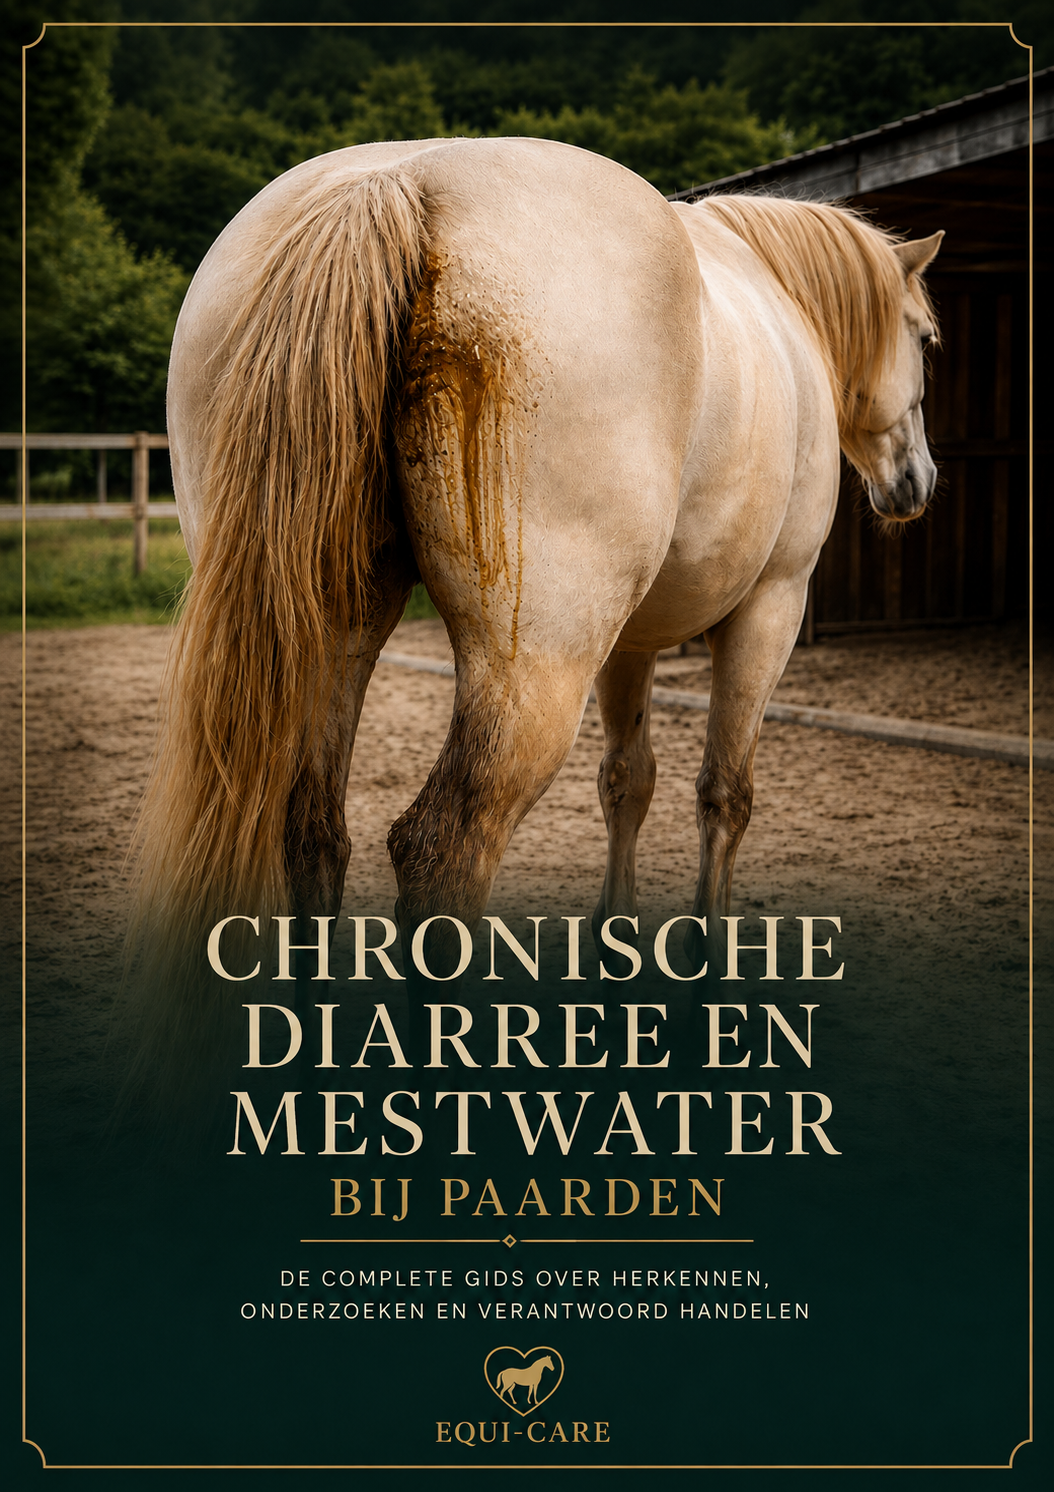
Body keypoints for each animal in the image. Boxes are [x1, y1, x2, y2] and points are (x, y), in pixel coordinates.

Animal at [131, 135, 940, 1062]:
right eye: (925, 338)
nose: (916, 483)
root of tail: (398, 183)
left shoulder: (629, 643)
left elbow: (628, 780)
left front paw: (616, 957)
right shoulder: (770, 608)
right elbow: (724, 796)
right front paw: (713, 979)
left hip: (337, 634)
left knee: (313, 837)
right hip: (536, 666)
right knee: (441, 856)